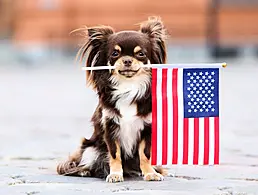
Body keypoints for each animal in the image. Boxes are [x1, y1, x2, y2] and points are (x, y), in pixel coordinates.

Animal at [57, 16, 167, 182]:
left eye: (141, 54)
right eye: (115, 53)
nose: (127, 60)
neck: (128, 86)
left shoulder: (147, 128)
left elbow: (145, 155)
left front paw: (150, 173)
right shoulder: (110, 127)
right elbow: (115, 155)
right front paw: (115, 174)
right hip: (90, 148)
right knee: (85, 163)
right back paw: (85, 171)